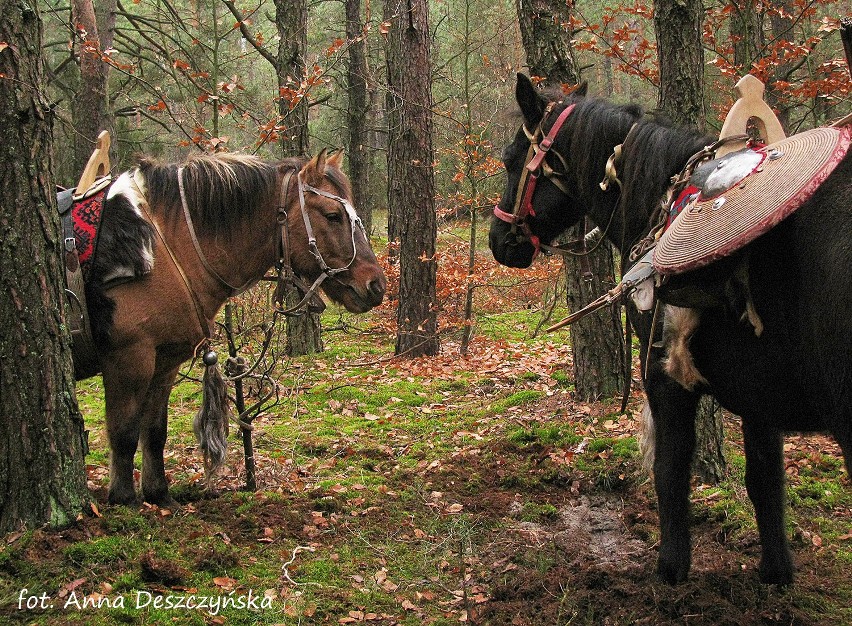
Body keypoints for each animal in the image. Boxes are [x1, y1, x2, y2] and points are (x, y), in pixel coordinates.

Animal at [76, 149, 386, 504]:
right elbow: (124, 432)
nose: (376, 285)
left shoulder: (164, 362)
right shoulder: (128, 359)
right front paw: (123, 499)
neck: (163, 247)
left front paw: (158, 495)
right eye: (333, 216)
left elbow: (154, 430)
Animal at [490, 74, 848, 584]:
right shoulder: (759, 393)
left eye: (510, 159)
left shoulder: (664, 375)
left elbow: (671, 469)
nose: (498, 241)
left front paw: (671, 567)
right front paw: (775, 571)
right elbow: (765, 479)